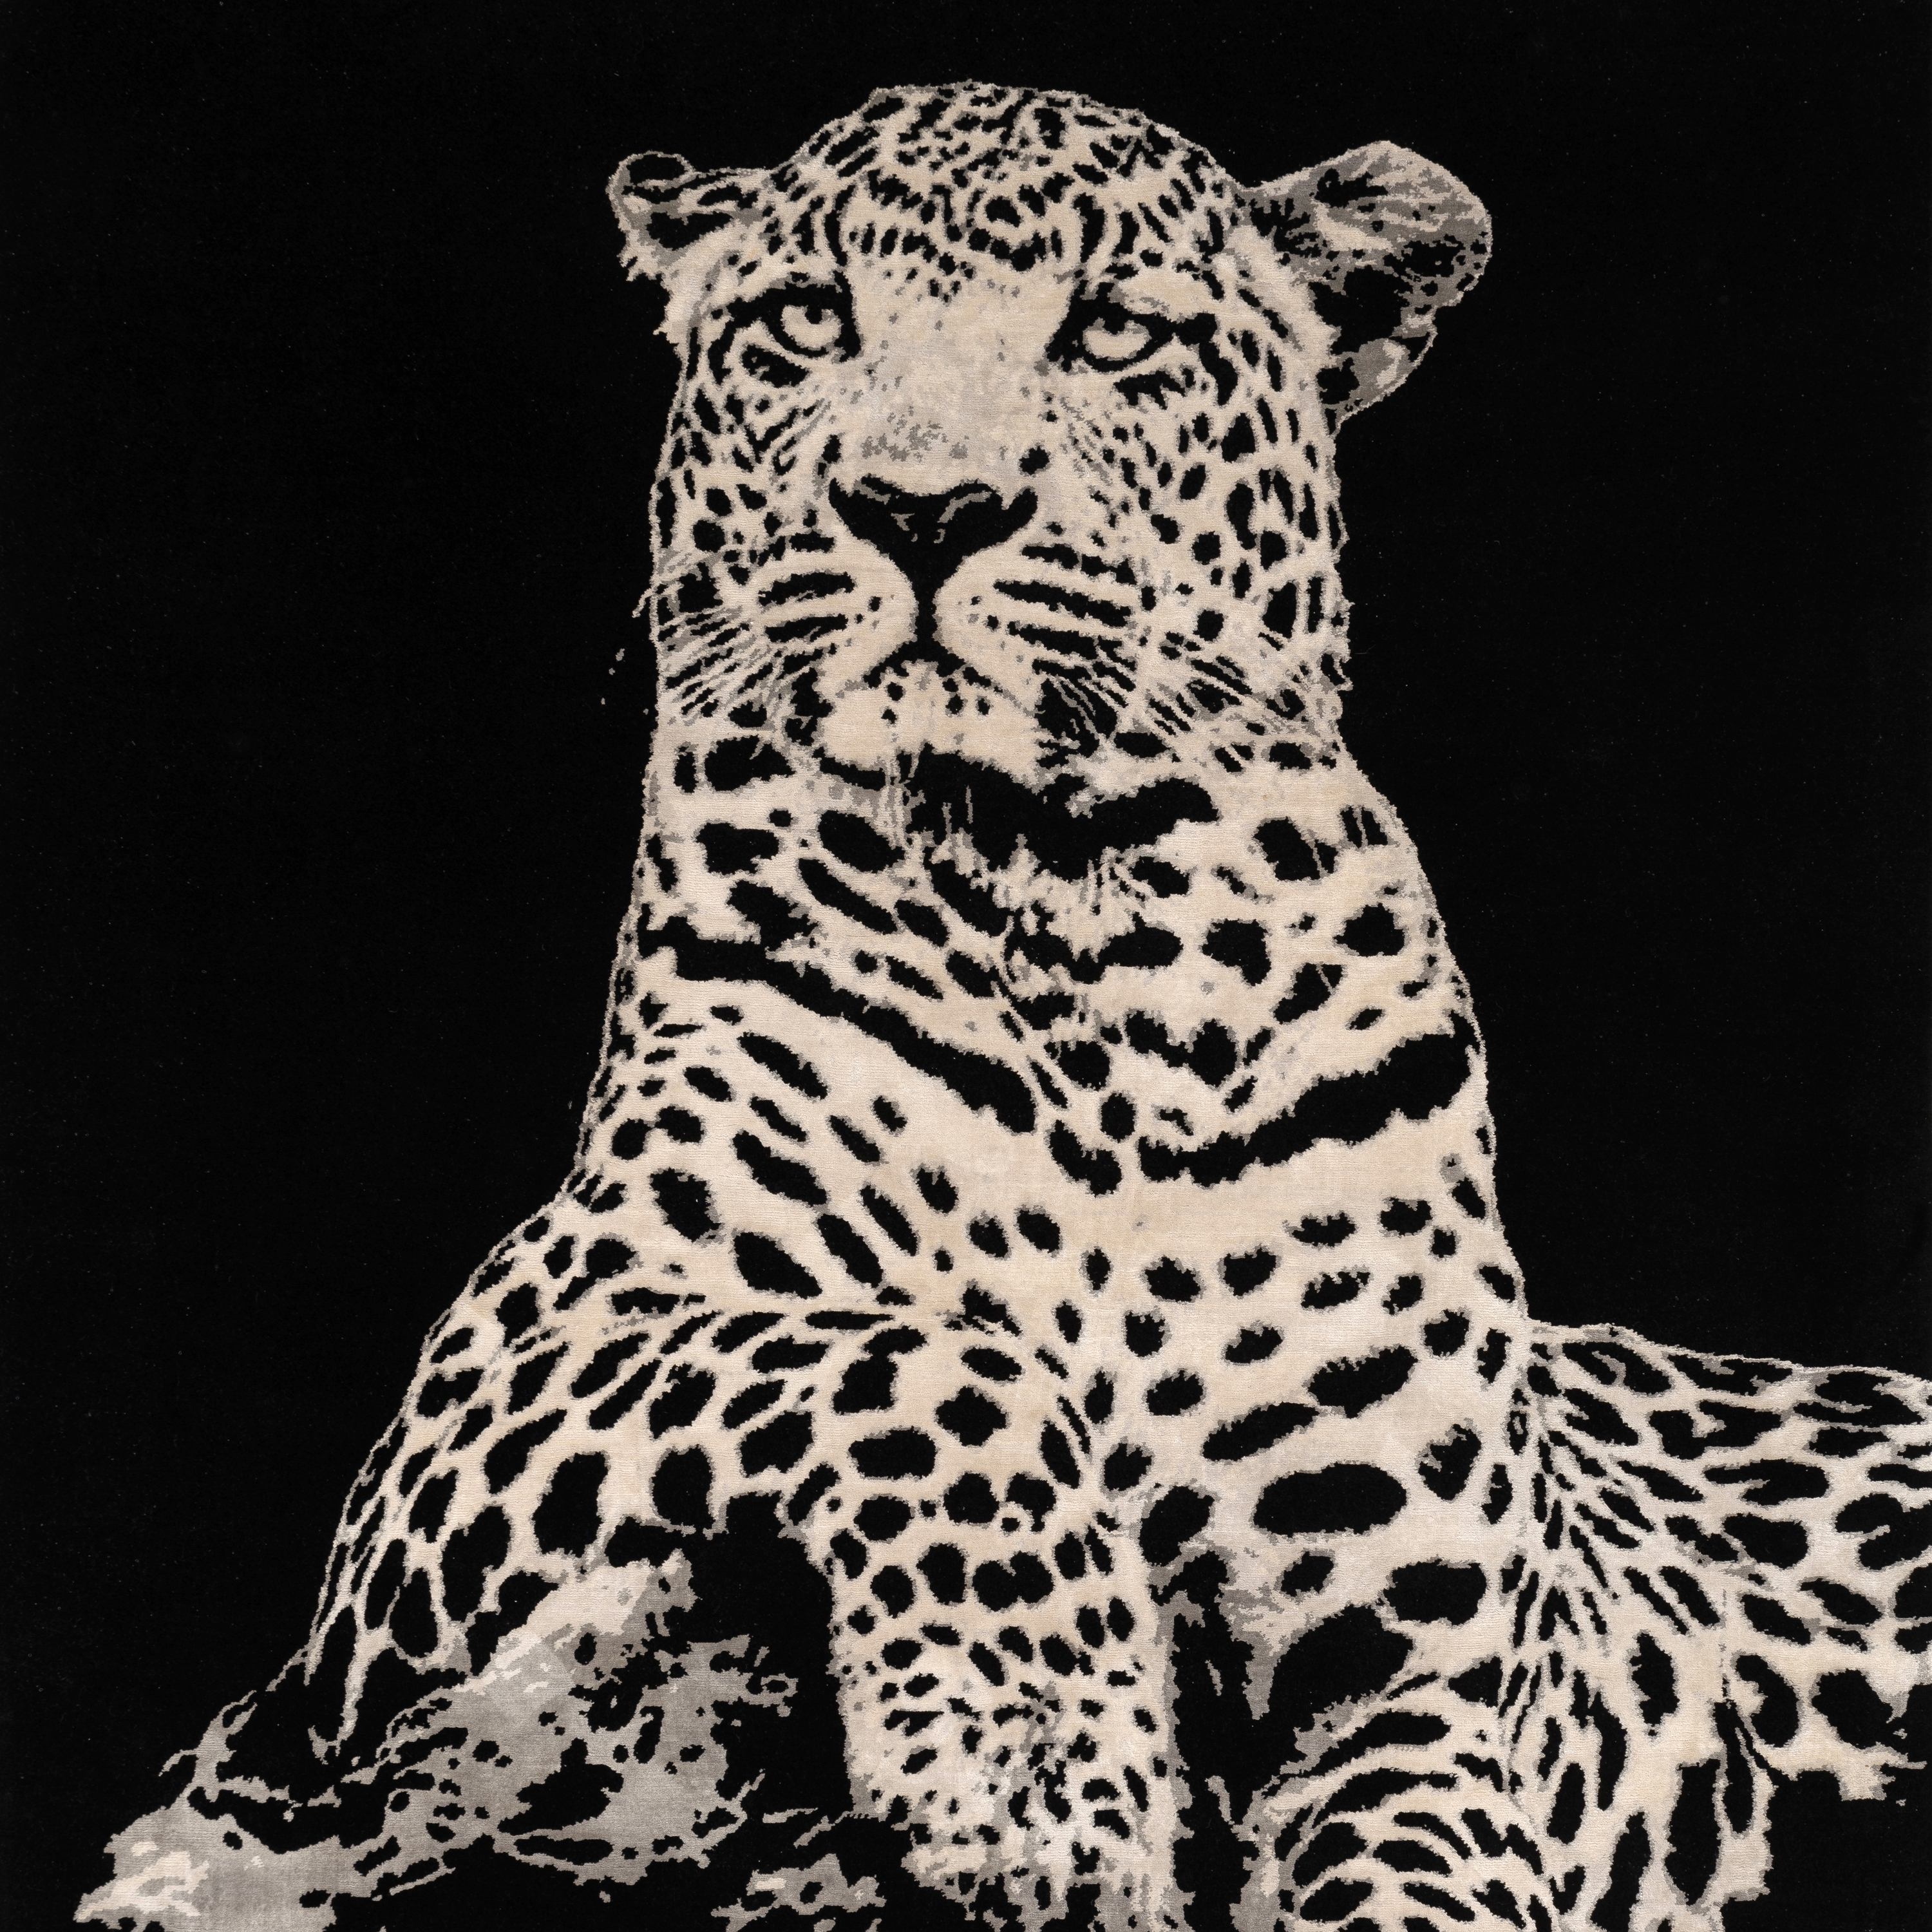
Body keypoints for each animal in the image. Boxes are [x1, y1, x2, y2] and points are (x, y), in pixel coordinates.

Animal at [80, 82, 1930, 1932]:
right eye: (809, 322)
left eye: (1112, 331)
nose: (923, 508)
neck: (1084, 941)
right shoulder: (475, 1424)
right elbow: (926, 1358)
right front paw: (1034, 1754)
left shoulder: (1442, 1681)